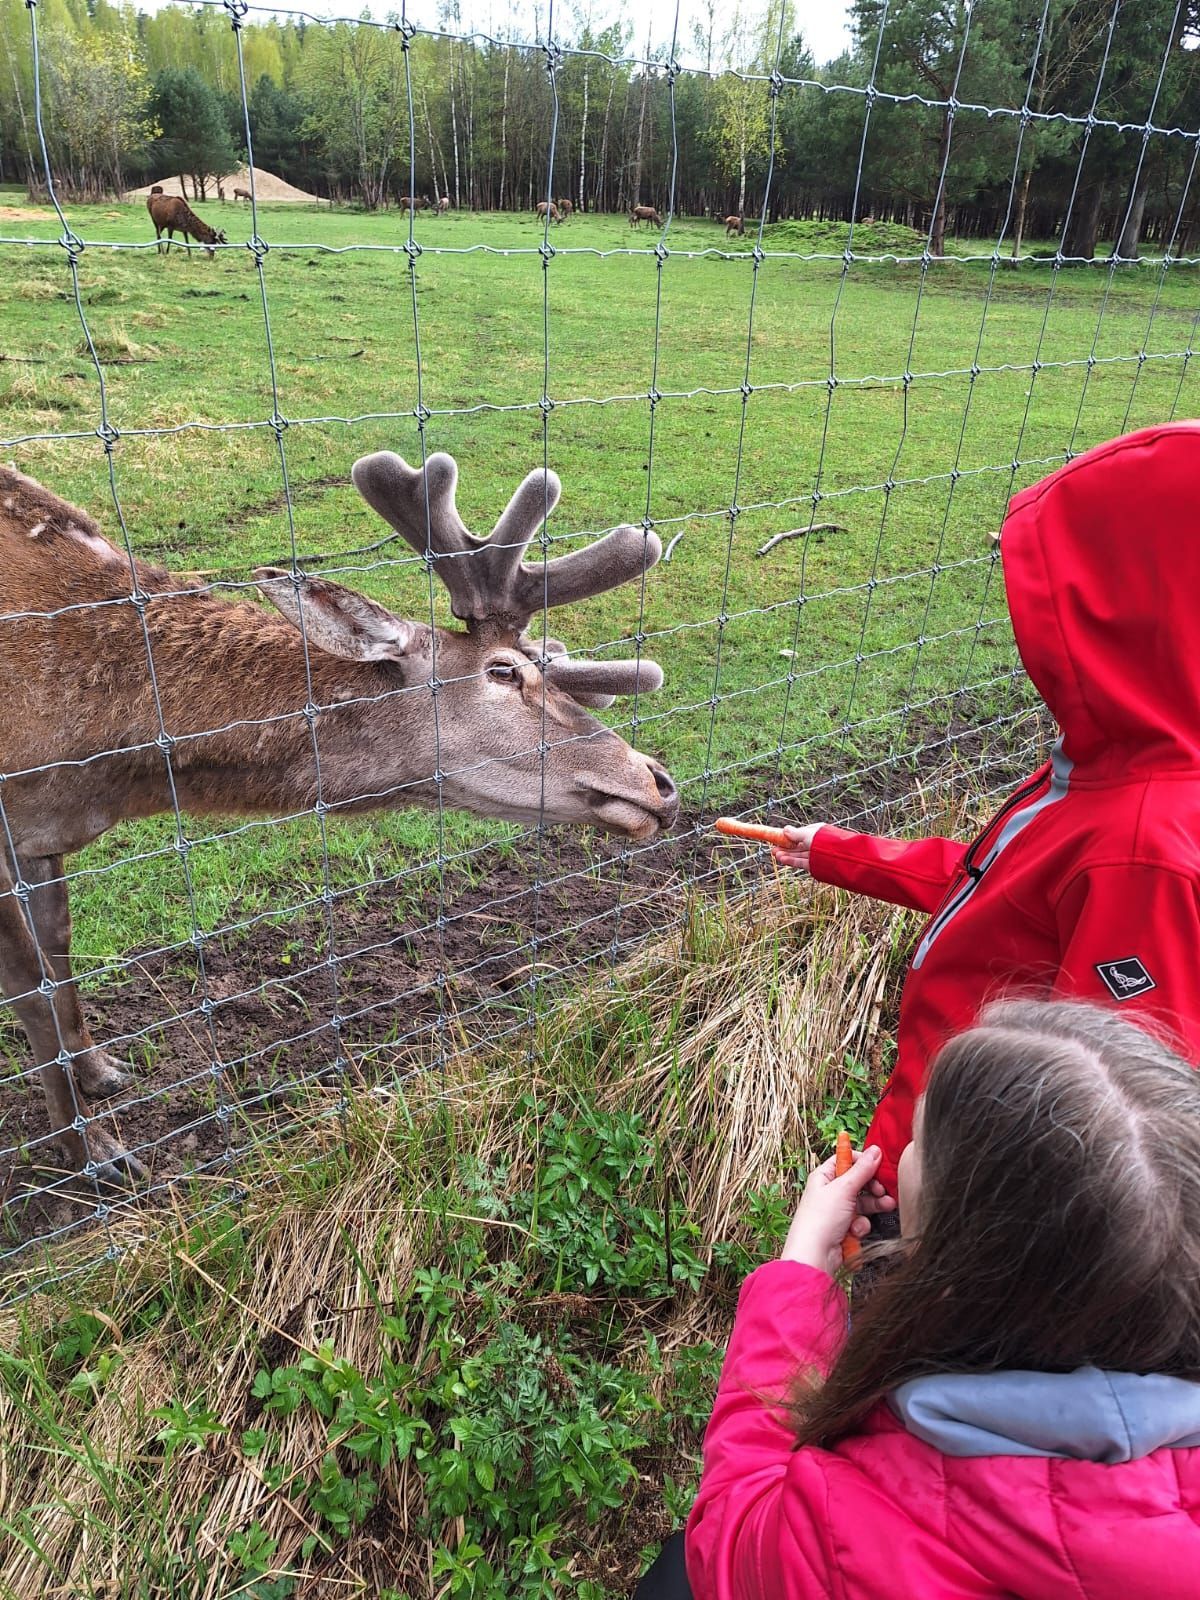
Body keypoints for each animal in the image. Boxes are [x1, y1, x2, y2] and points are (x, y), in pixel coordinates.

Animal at [0, 453, 677, 1186]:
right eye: (503, 671)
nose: (658, 781)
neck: (92, 758)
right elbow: (28, 983)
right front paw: (90, 1150)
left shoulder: (42, 832)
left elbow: (59, 946)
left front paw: (98, 1070)